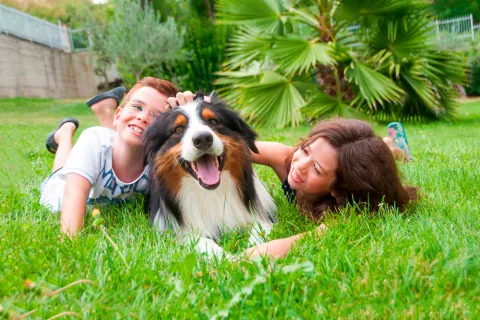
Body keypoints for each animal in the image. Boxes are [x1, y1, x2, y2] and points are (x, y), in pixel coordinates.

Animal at [144, 93, 276, 258]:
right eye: (178, 129)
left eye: (213, 121)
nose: (202, 139)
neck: (211, 193)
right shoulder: (181, 232)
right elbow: (203, 242)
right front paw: (229, 259)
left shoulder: (260, 216)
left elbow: (260, 232)